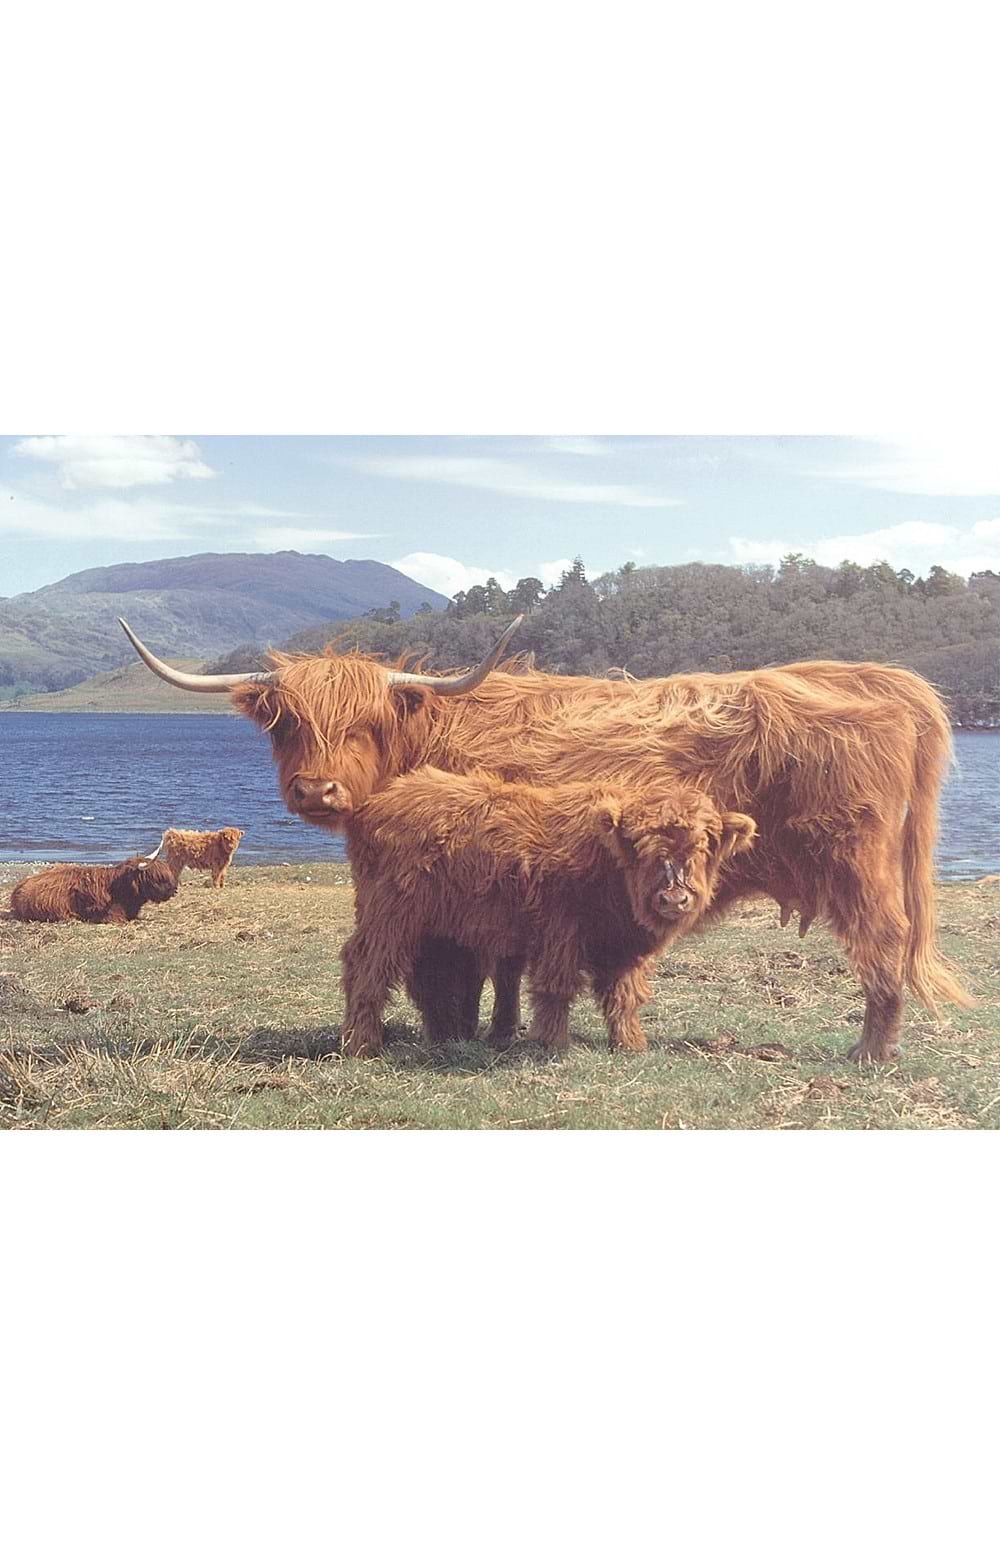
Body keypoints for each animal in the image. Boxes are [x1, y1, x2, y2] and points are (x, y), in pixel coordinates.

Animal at [339, 767, 756, 1055]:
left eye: (702, 845)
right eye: (638, 844)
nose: (673, 899)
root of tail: (379, 801)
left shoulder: (623, 947)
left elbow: (624, 996)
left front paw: (630, 1044)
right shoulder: (560, 932)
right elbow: (556, 987)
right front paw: (554, 1043)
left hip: (435, 929)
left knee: (432, 977)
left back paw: (442, 1037)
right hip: (389, 917)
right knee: (367, 967)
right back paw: (362, 1044)